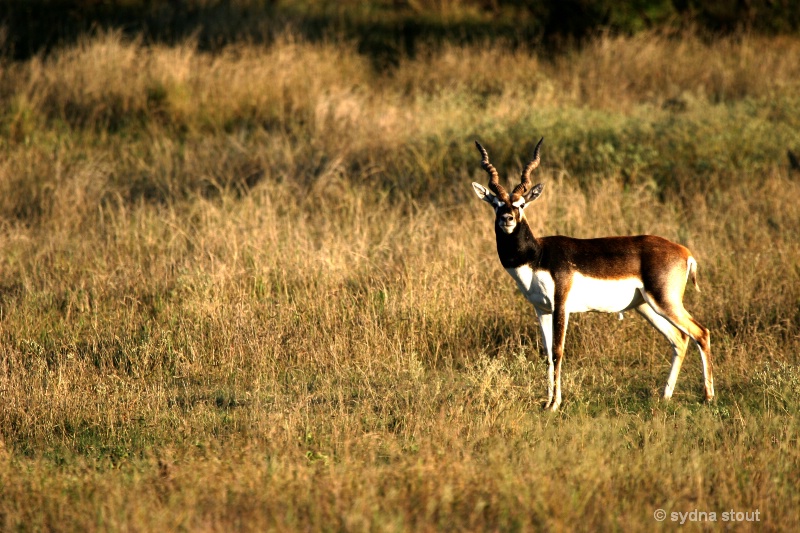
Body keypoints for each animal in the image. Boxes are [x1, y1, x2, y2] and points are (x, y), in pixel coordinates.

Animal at [468, 139, 712, 410]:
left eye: (521, 204)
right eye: (496, 204)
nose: (507, 219)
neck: (537, 255)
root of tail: (684, 251)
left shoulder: (561, 306)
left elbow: (558, 352)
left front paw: (555, 405)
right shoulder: (541, 309)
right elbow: (547, 356)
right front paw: (547, 403)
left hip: (665, 302)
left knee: (701, 333)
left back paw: (708, 397)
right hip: (646, 307)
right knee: (679, 339)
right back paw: (664, 396)